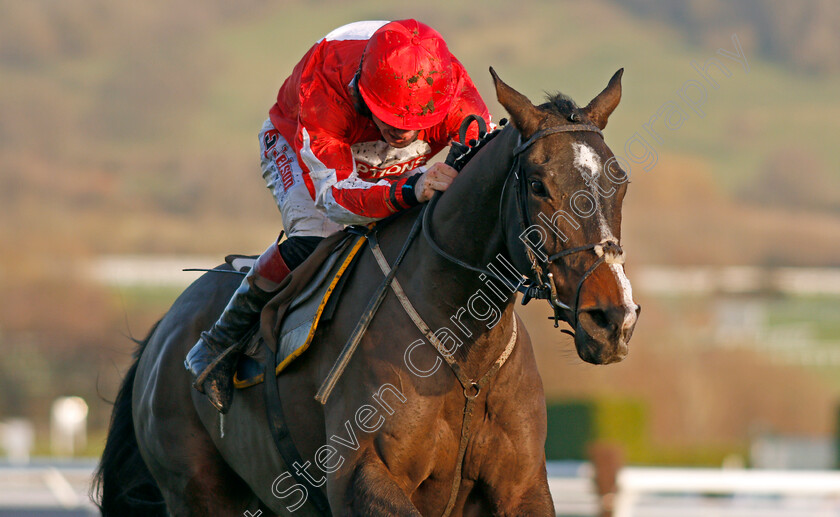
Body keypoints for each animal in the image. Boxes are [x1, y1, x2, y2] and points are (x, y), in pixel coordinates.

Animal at [95, 69, 640, 516]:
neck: (462, 353)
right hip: (197, 490)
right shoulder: (364, 479)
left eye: (620, 182)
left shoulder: (522, 486)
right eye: (537, 183)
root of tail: (163, 333)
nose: (612, 319)